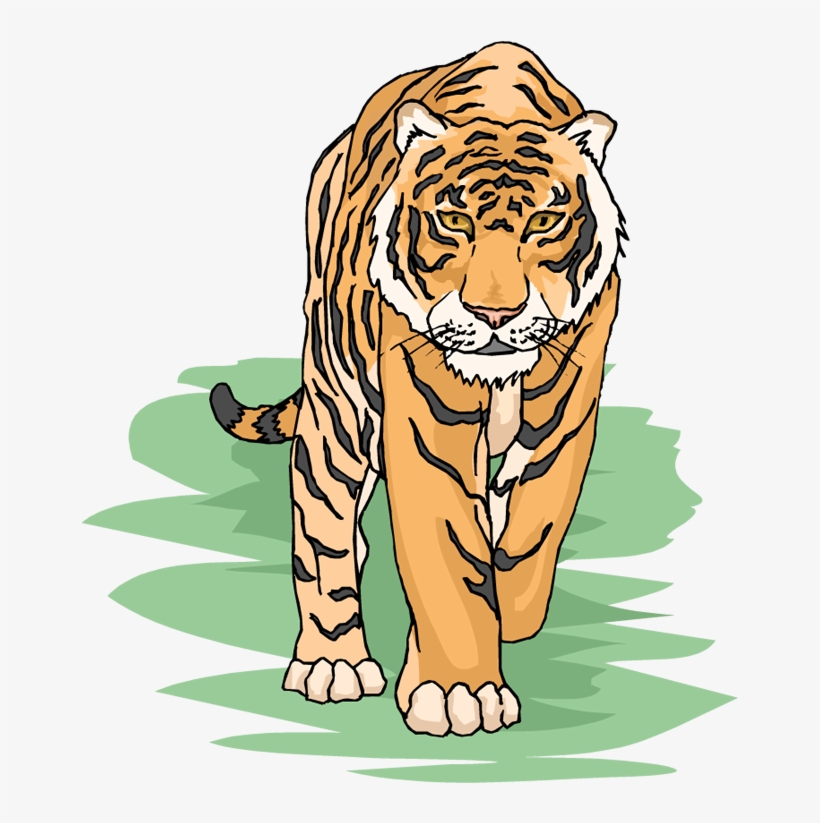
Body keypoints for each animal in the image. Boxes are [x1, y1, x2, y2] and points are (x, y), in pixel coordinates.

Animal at [209, 41, 625, 736]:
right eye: (453, 220)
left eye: (545, 221)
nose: (494, 313)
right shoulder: (427, 421)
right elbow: (448, 557)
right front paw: (462, 692)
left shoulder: (566, 409)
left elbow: (529, 540)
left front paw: (496, 624)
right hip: (337, 410)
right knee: (324, 534)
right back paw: (333, 663)